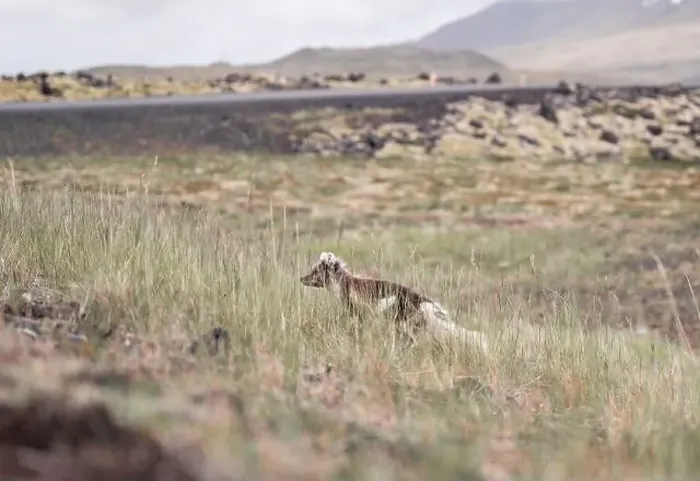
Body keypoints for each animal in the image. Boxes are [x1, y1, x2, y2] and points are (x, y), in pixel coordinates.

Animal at [299, 251, 489, 352]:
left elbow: (356, 320)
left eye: (315, 272)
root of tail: (420, 301)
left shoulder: (355, 305)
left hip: (402, 318)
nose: (302, 278)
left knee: (411, 336)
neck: (345, 282)